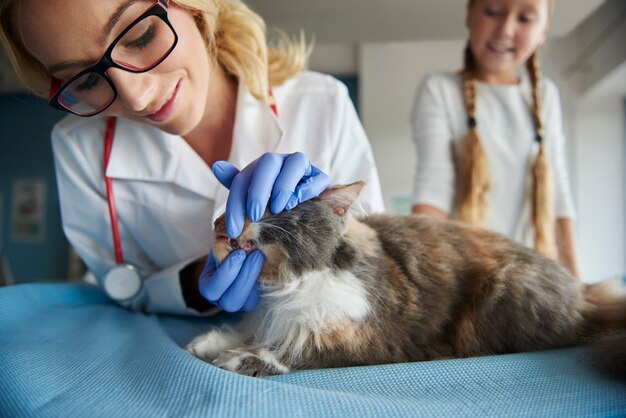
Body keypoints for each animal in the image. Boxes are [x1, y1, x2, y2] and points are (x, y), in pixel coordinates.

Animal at [185, 181, 624, 378]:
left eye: (270, 205)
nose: (221, 225)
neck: (285, 282)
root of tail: (583, 293)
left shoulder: (368, 336)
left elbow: (297, 347)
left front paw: (240, 357)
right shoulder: (268, 314)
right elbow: (253, 327)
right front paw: (210, 342)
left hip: (503, 292)